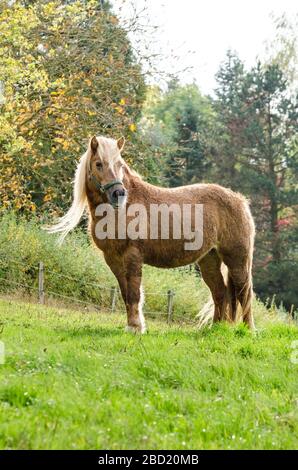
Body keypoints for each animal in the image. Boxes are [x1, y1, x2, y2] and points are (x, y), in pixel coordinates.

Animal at [47, 135, 255, 334]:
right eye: (98, 164)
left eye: (119, 164)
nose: (118, 193)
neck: (124, 209)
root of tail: (240, 200)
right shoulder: (113, 259)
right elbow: (125, 294)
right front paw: (133, 325)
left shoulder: (132, 256)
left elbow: (134, 294)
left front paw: (135, 327)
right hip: (209, 260)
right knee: (220, 292)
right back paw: (216, 328)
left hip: (237, 261)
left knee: (244, 294)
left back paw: (249, 331)